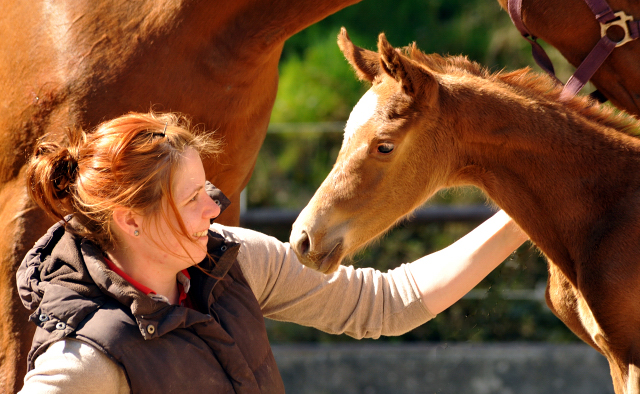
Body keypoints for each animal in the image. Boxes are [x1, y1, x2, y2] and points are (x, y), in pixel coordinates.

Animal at [294, 28, 640, 394]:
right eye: (345, 136)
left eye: (384, 145)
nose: (303, 238)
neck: (608, 208)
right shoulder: (615, 359)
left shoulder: (629, 356)